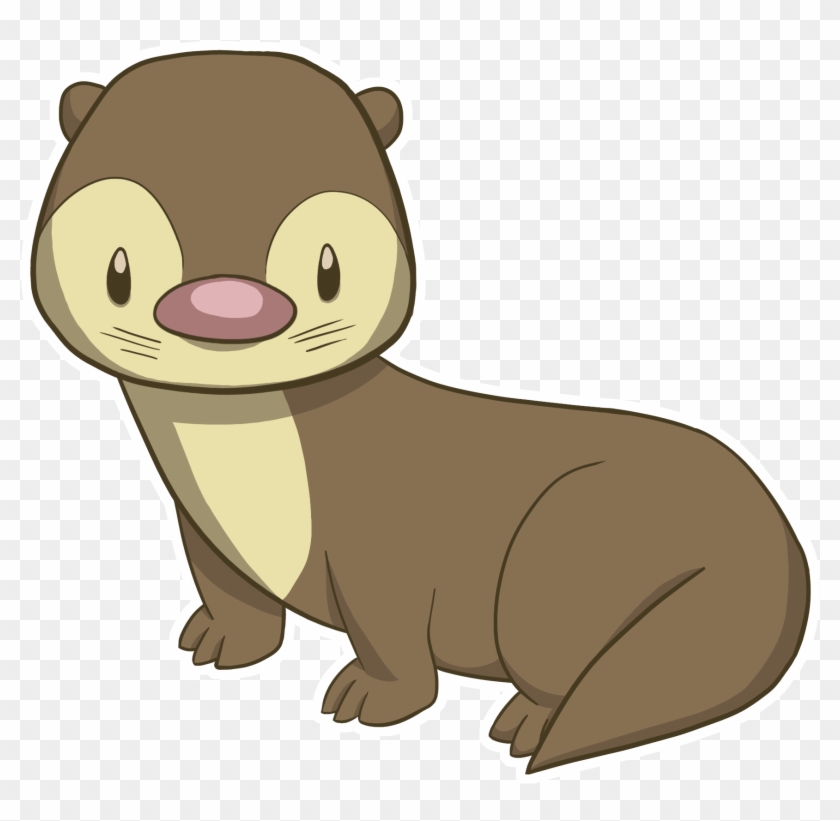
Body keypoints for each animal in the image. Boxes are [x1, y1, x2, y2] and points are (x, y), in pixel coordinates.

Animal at [31, 51, 809, 773]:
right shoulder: (201, 529)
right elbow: (230, 593)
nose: (225, 305)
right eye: (119, 268)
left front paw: (373, 699)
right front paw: (224, 641)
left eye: (328, 267)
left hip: (557, 554)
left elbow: (389, 632)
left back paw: (528, 721)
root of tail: (778, 543)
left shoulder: (383, 541)